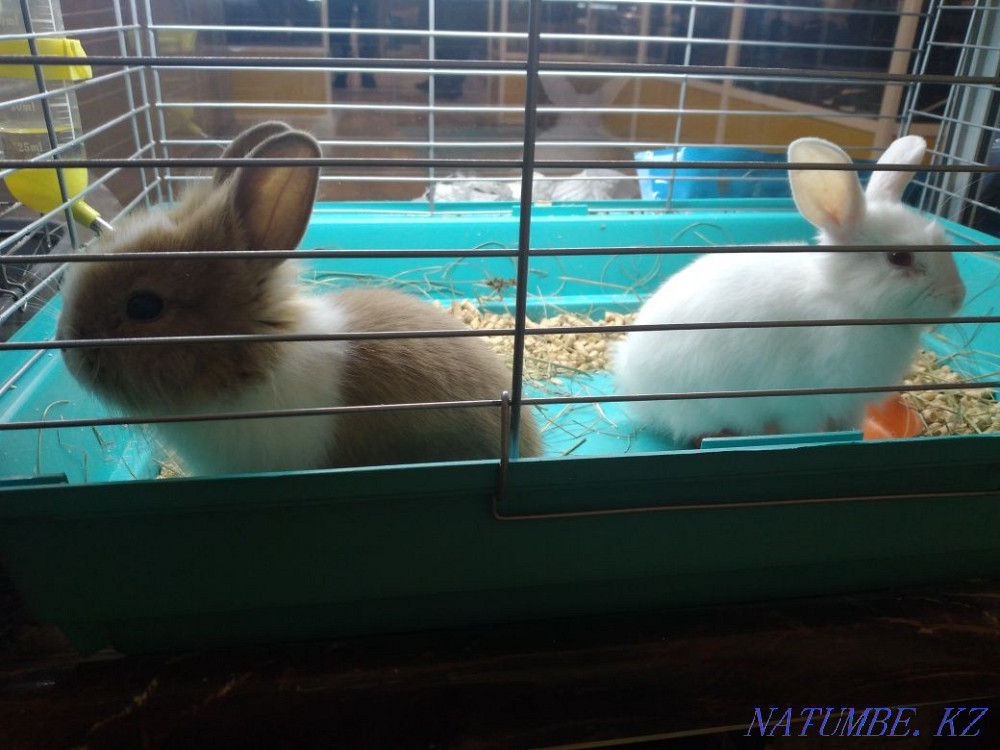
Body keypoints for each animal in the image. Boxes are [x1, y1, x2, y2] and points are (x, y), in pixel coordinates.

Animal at [613, 135, 966, 447]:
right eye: (899, 258)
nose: (957, 297)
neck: (845, 300)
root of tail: (630, 378)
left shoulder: (850, 402)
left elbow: (847, 425)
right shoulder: (803, 402)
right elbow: (803, 427)